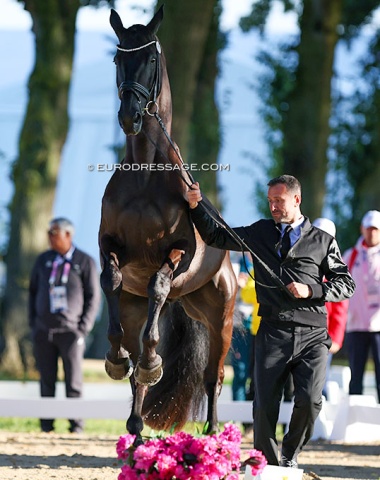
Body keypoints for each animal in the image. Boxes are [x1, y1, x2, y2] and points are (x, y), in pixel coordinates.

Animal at [98, 7, 238, 442]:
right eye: (117, 59)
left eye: (150, 60)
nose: (129, 116)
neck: (145, 175)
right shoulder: (108, 243)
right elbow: (110, 280)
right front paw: (117, 359)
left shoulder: (179, 250)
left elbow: (159, 283)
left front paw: (150, 362)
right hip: (135, 311)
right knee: (137, 369)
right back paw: (134, 426)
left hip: (220, 317)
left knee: (213, 376)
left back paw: (213, 433)